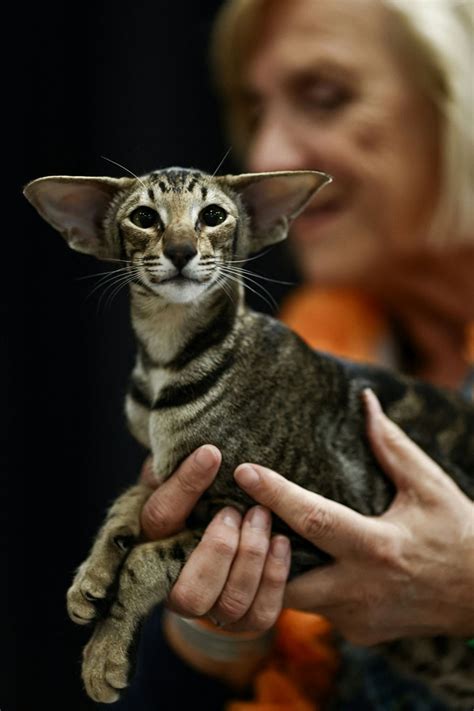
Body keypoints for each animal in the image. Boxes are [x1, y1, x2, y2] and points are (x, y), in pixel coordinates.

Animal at [24, 167, 472, 708]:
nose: (180, 250)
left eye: (213, 215)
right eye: (144, 217)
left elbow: (149, 558)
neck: (166, 364)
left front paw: (103, 654)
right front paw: (93, 572)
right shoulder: (166, 471)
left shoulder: (320, 523)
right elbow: (129, 502)